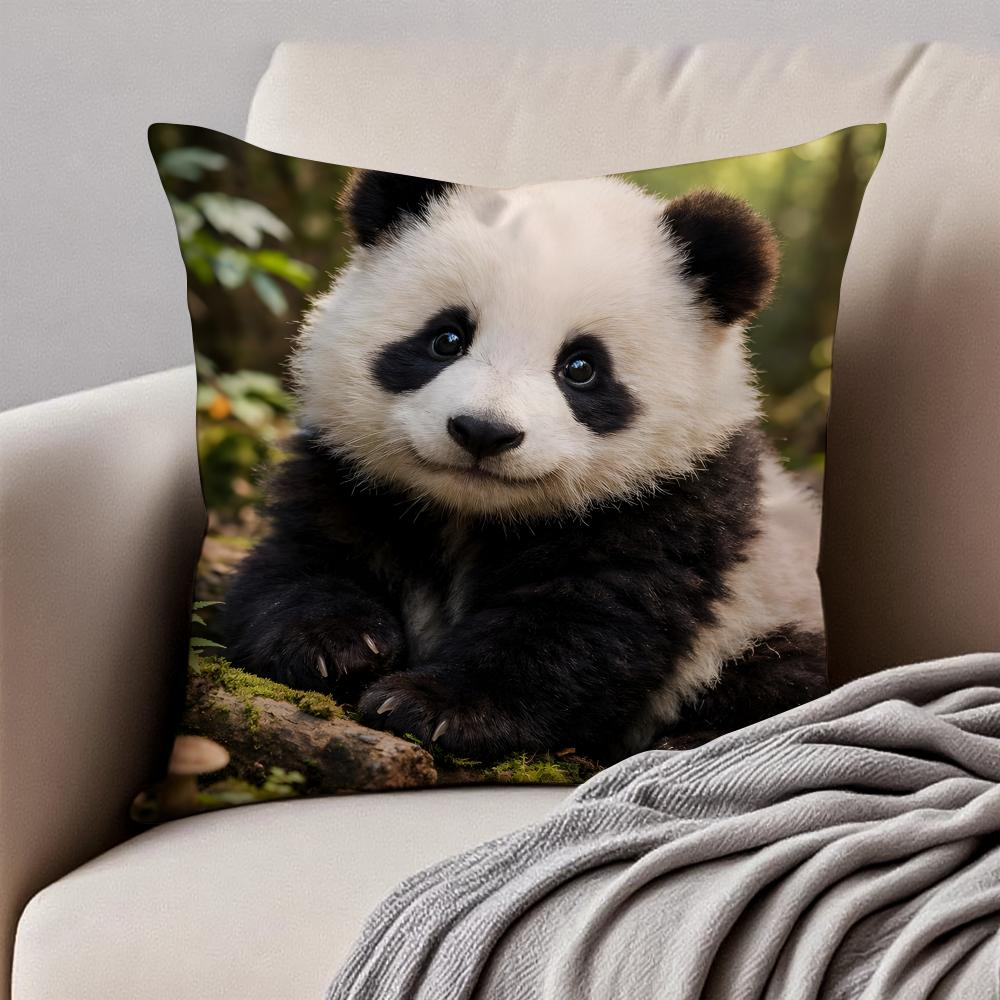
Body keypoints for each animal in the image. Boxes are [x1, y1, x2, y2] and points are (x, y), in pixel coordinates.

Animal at [224, 169, 828, 762]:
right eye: (447, 338)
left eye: (581, 367)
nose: (483, 431)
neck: (474, 512)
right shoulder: (351, 474)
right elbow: (305, 555)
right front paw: (335, 644)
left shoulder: (676, 505)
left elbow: (580, 623)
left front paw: (432, 706)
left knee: (784, 676)